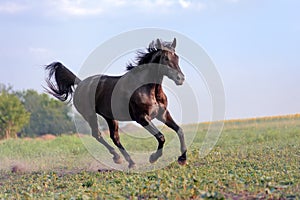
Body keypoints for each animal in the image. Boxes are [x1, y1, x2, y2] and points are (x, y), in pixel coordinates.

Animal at [44, 38, 186, 169]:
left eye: (177, 57)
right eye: (166, 58)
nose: (180, 78)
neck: (147, 88)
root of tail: (80, 83)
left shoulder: (162, 114)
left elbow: (179, 130)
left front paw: (182, 159)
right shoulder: (142, 118)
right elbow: (161, 136)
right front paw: (153, 158)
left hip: (109, 117)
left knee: (115, 137)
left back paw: (128, 161)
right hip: (90, 115)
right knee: (98, 134)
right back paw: (119, 158)